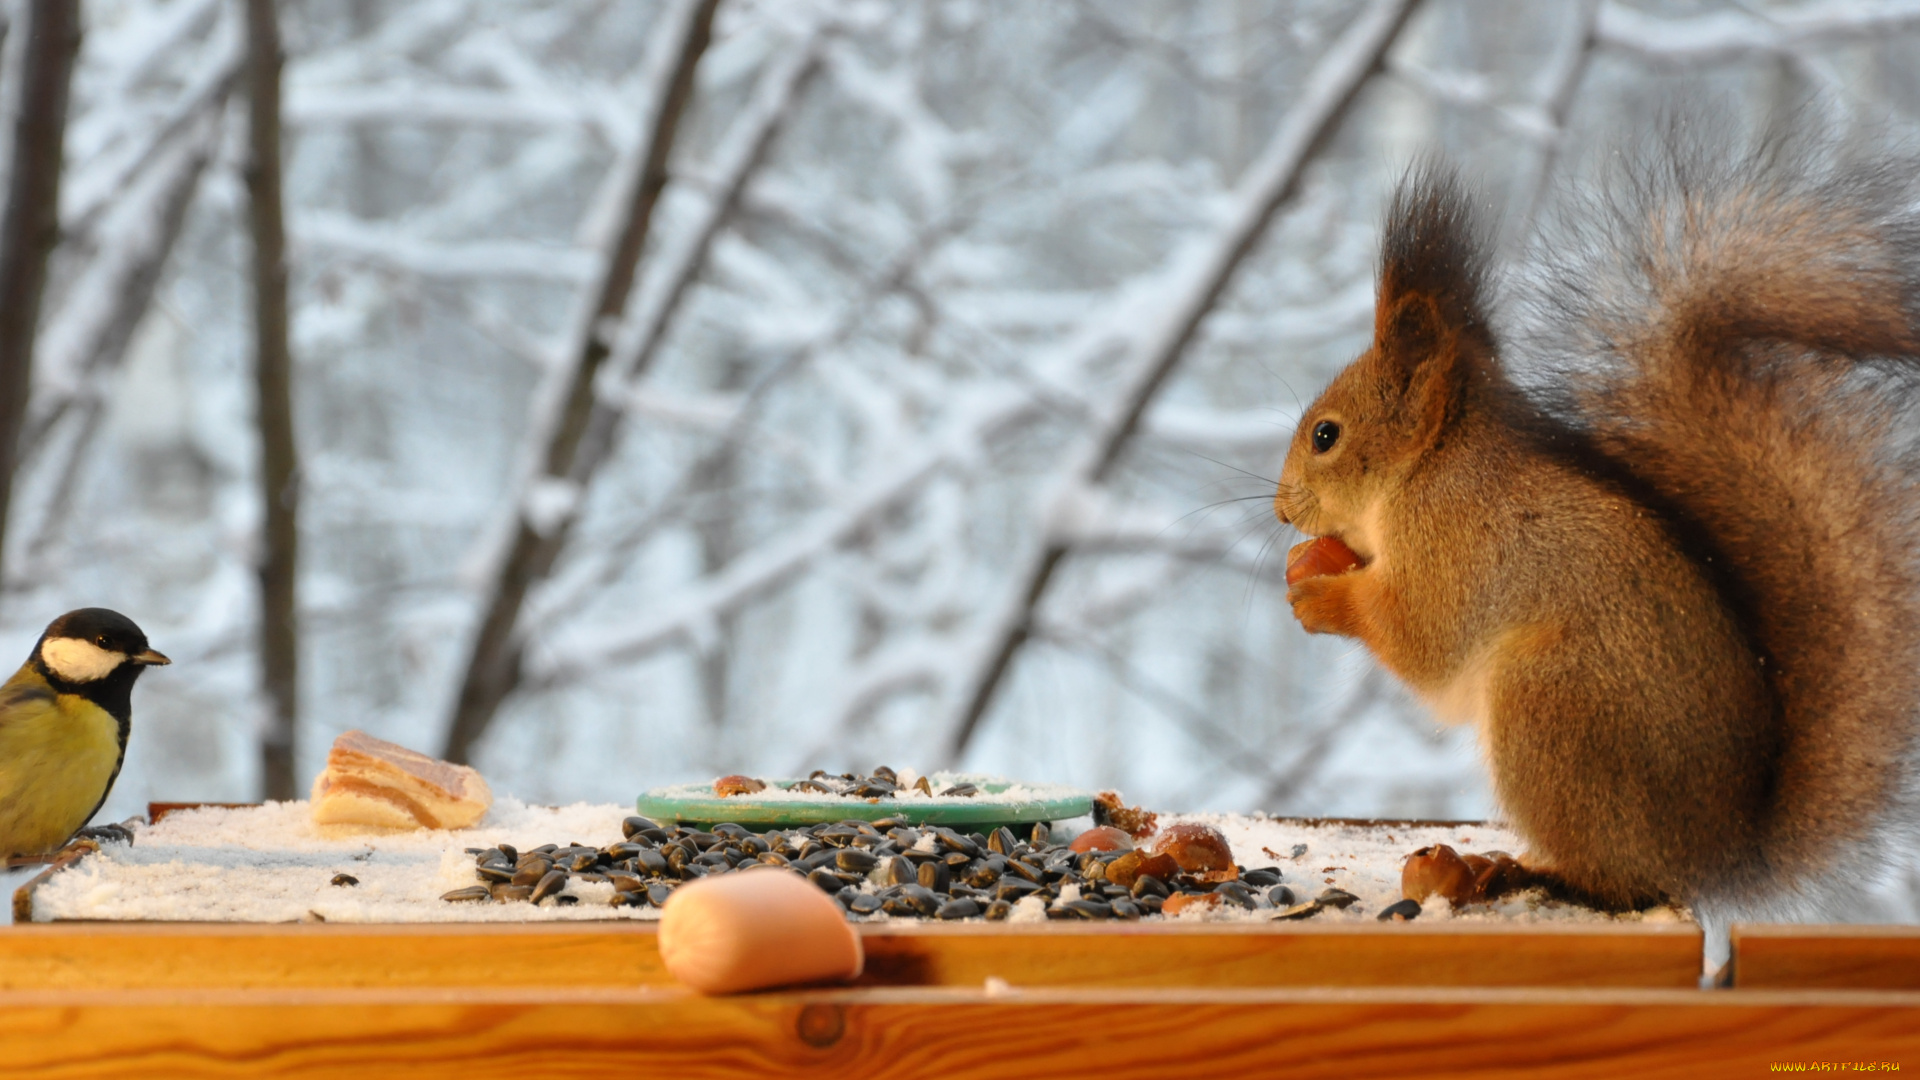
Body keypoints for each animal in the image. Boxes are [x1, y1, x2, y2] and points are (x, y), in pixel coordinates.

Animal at [1274, 134, 1920, 907]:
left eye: (1326, 436)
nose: (1280, 508)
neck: (1431, 463)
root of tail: (1716, 856)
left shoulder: (1454, 542)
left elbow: (1420, 634)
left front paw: (1320, 596)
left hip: (1550, 710)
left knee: (1612, 878)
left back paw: (1525, 871)